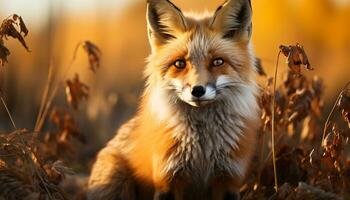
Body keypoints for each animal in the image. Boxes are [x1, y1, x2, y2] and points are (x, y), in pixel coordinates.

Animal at [87, 0, 258, 199]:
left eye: (217, 62)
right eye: (179, 64)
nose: (197, 90)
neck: (203, 150)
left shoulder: (228, 179)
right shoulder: (167, 180)